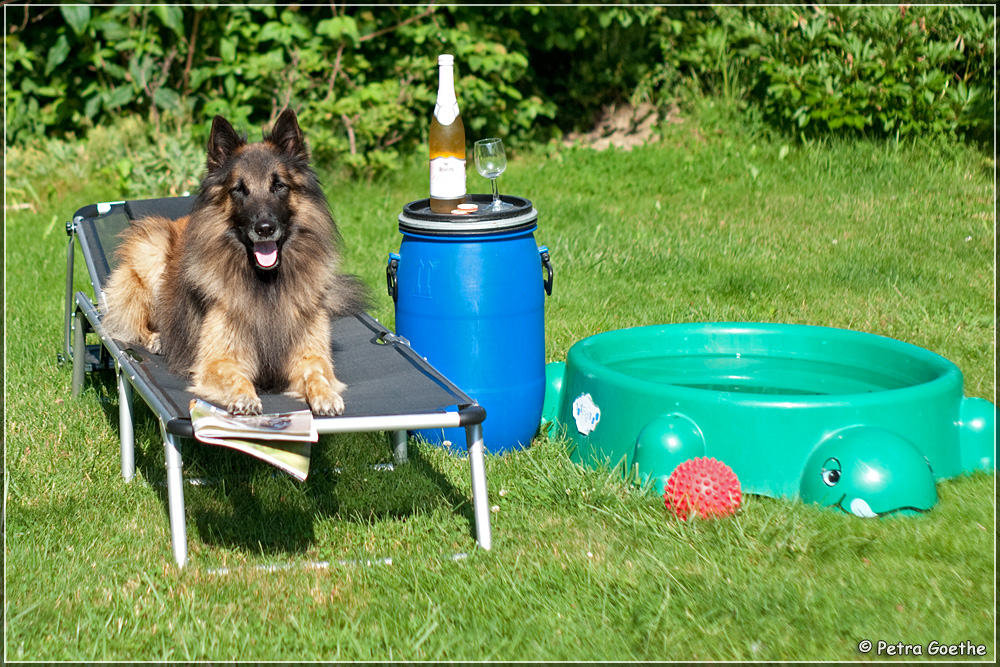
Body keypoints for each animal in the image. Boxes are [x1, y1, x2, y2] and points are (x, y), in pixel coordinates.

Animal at [103, 107, 370, 414]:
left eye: (279, 185)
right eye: (239, 189)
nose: (264, 228)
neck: (265, 283)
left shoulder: (309, 354)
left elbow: (317, 374)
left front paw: (325, 395)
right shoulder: (218, 360)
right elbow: (236, 377)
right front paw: (245, 397)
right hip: (151, 247)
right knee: (134, 323)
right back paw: (158, 338)